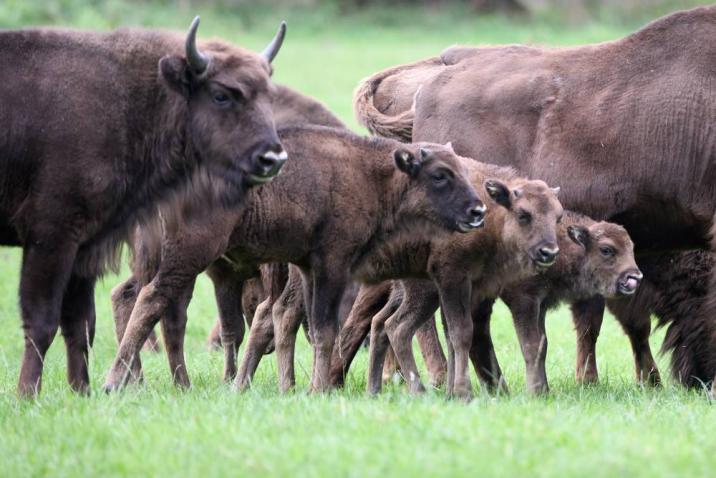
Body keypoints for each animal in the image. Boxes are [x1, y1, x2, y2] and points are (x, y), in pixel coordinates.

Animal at [2, 17, 290, 396]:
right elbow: (42, 319)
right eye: (221, 95)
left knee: (154, 308)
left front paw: (81, 392)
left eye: (270, 96)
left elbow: (78, 323)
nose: (272, 158)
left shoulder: (85, 247)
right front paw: (27, 395)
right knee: (152, 302)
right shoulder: (51, 236)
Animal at [103, 126, 484, 392]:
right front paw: (319, 388)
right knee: (150, 300)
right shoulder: (332, 265)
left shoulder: (307, 267)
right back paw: (114, 382)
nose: (477, 211)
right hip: (188, 256)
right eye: (440, 174)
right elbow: (325, 329)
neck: (372, 174)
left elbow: (306, 325)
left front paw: (302, 385)